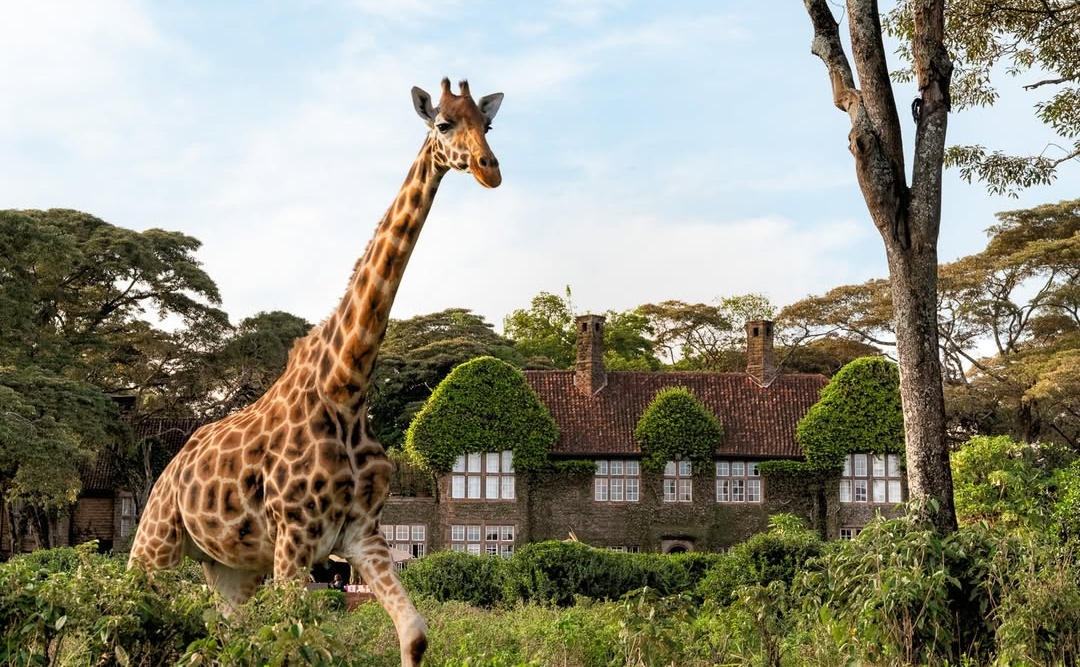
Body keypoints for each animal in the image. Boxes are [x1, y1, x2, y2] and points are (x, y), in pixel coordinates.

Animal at [128, 78, 503, 667]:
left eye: (488, 125)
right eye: (443, 124)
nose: (490, 168)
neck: (347, 386)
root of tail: (171, 465)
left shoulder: (362, 535)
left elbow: (414, 634)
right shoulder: (294, 540)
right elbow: (292, 644)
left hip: (231, 567)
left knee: (222, 633)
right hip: (157, 540)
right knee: (127, 613)